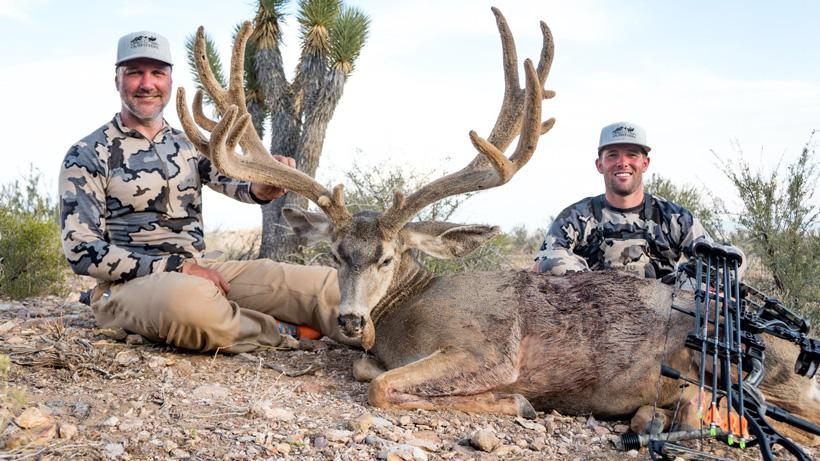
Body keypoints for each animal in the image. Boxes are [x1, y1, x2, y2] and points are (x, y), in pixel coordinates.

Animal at [177, 8, 820, 447]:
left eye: (388, 256)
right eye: (334, 253)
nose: (352, 320)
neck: (407, 313)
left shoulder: (489, 348)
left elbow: (382, 386)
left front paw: (516, 403)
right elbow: (369, 370)